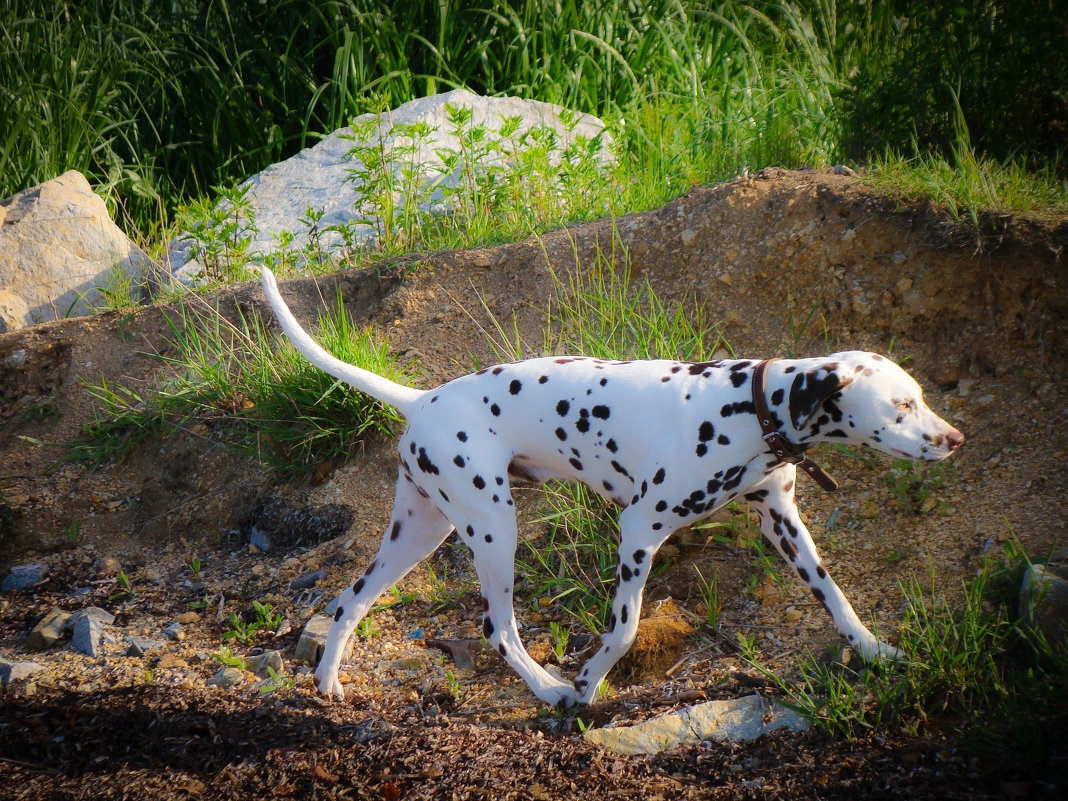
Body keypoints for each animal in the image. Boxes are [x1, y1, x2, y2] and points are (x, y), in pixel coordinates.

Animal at [260, 270, 969, 709]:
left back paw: (327, 682)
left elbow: (836, 599)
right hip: (493, 529)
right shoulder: (639, 532)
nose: (955, 438)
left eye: (920, 396)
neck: (751, 405)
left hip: (418, 533)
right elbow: (624, 631)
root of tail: (423, 399)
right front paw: (589, 682)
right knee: (497, 628)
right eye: (903, 405)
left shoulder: (784, 524)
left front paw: (876, 651)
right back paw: (549, 691)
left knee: (348, 602)